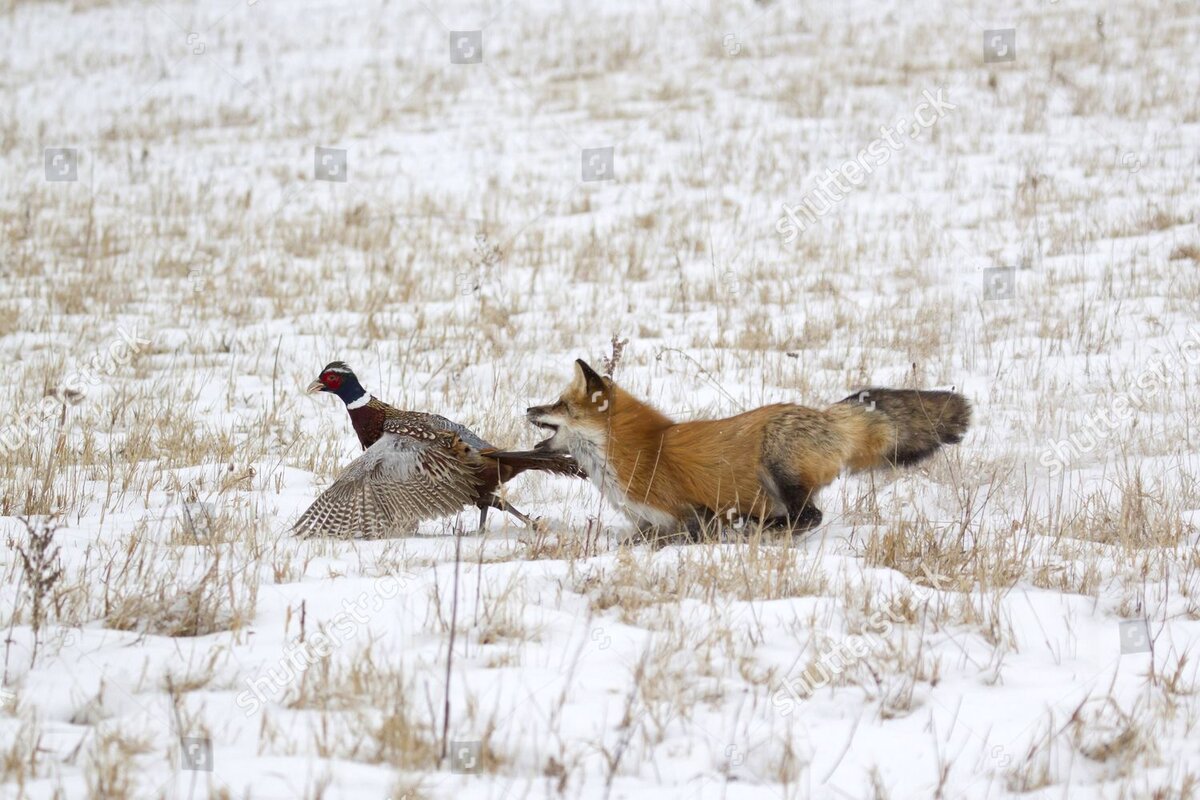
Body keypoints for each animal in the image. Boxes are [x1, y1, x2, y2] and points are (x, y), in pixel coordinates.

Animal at [525, 362, 974, 537]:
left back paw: (760, 527)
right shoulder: (649, 525)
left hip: (778, 461)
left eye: (559, 404)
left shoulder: (686, 514)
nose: (528, 408)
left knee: (808, 516)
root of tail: (826, 415)